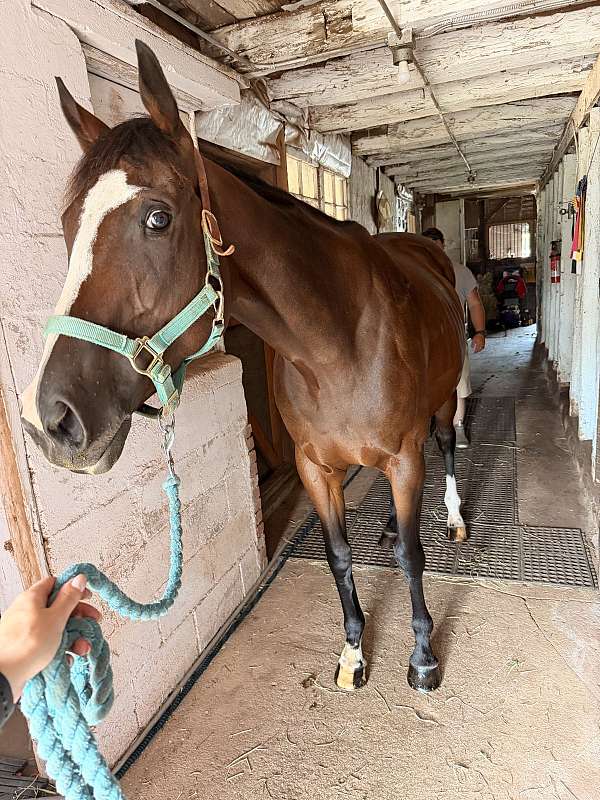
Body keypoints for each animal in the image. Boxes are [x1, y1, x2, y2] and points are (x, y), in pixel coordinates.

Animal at [21, 41, 466, 693]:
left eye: (158, 217)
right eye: (67, 223)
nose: (50, 419)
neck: (337, 347)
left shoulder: (405, 455)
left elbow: (412, 558)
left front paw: (424, 657)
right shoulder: (314, 468)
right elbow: (340, 556)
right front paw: (353, 653)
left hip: (444, 401)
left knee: (450, 445)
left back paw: (456, 517)